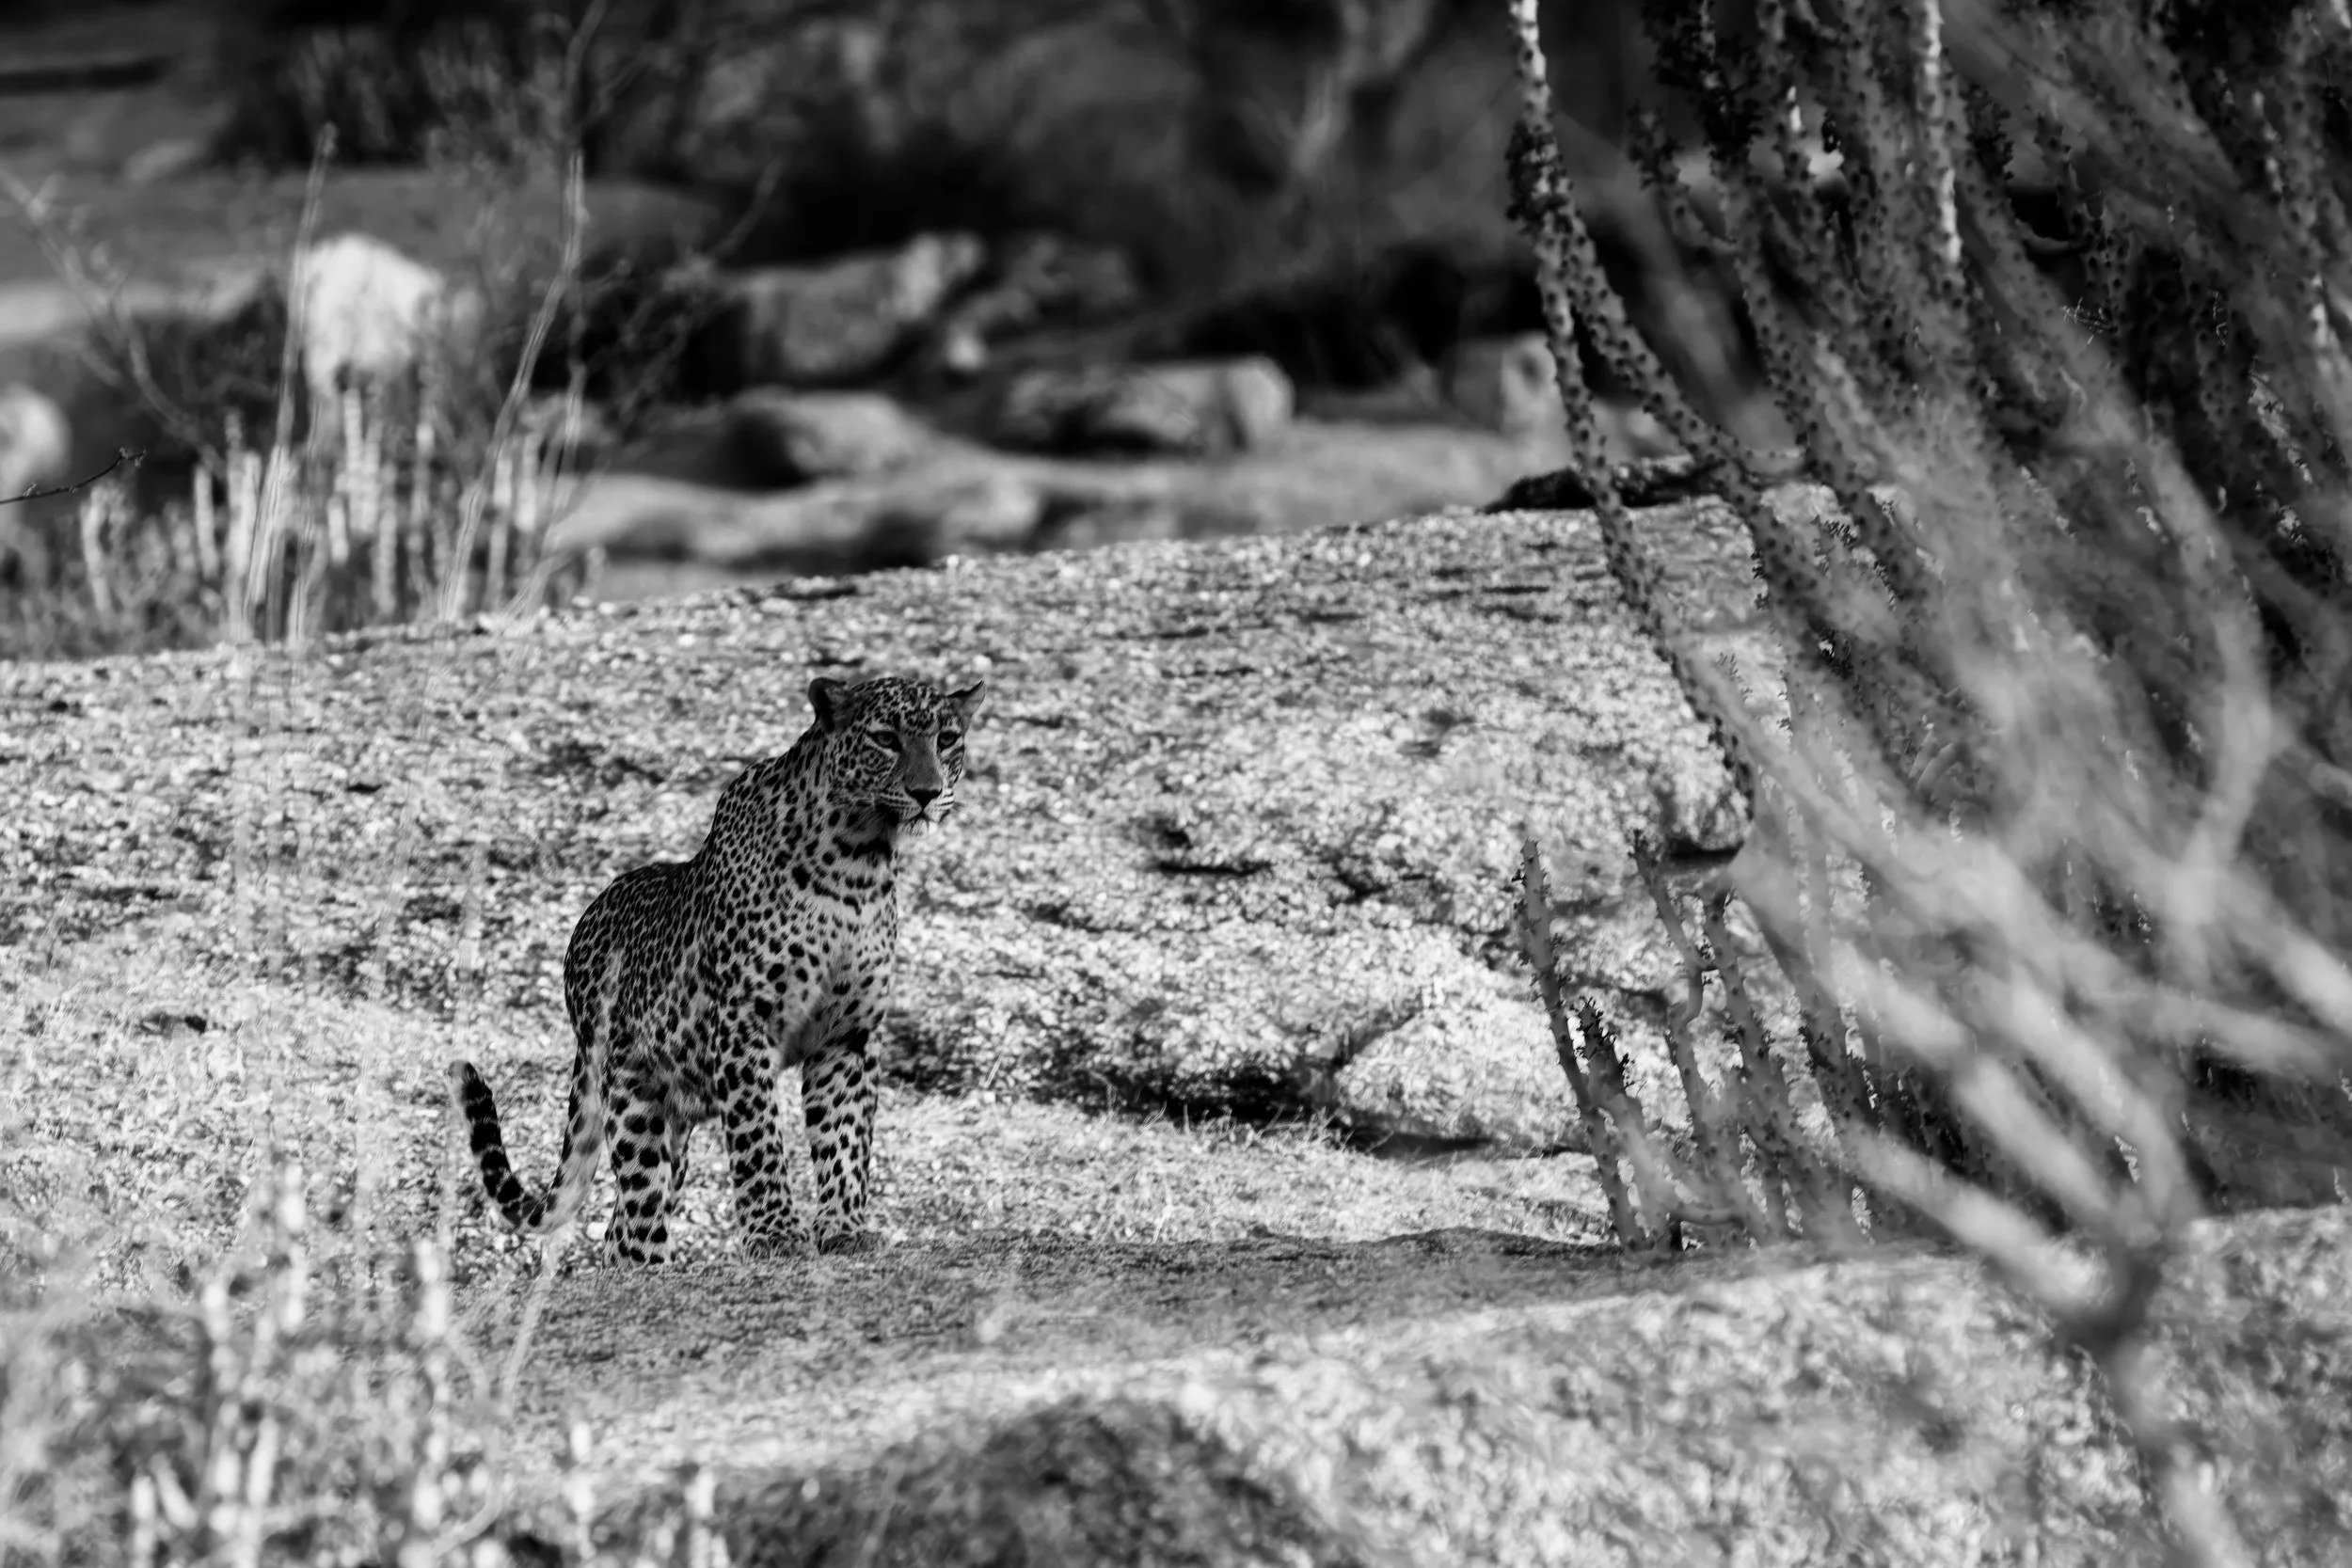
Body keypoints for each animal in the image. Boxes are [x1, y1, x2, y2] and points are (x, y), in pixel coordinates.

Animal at [449, 673, 985, 1265]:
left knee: (621, 1226)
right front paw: (776, 1233)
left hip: (675, 1132)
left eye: (947, 739)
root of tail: (578, 939)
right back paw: (650, 1271)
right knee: (636, 1214)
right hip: (634, 1098)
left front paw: (843, 1228)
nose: (926, 793)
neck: (858, 863)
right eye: (886, 739)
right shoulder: (742, 1023)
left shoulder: (849, 1035)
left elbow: (844, 1139)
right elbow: (758, 1136)